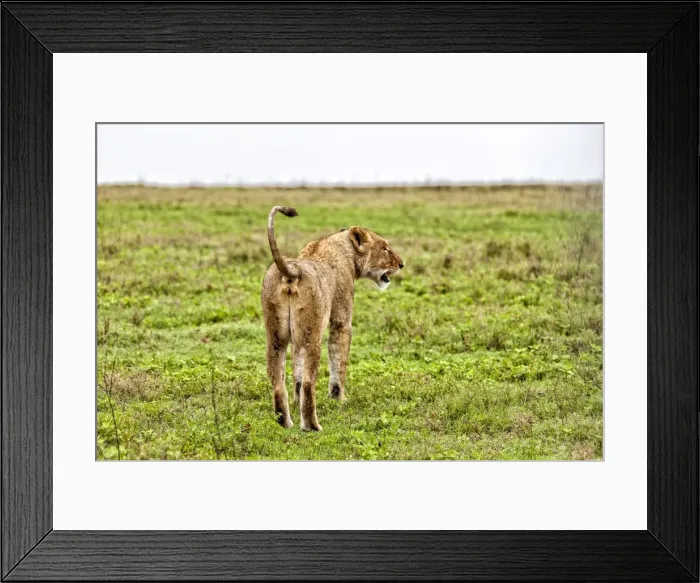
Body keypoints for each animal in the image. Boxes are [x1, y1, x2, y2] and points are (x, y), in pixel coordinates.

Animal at [261, 206, 404, 431]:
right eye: (384, 248)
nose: (401, 264)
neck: (343, 248)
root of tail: (291, 270)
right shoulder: (341, 320)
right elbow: (339, 361)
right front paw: (338, 399)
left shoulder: (295, 338)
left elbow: (297, 372)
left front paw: (297, 399)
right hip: (312, 335)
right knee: (309, 382)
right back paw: (312, 426)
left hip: (275, 337)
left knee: (277, 382)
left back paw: (285, 422)